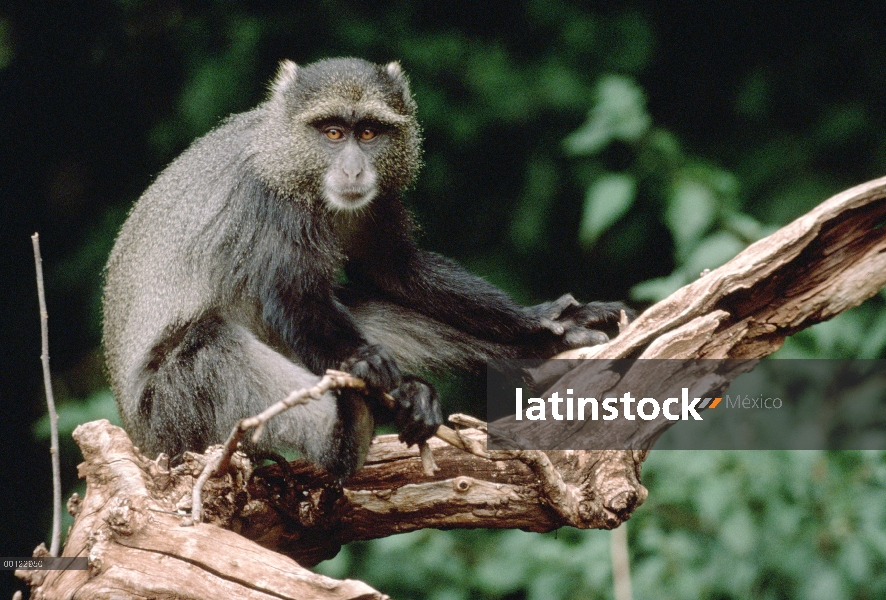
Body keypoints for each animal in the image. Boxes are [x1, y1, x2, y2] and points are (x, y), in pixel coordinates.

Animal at [104, 57, 628, 478]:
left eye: (369, 133)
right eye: (333, 132)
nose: (354, 170)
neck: (289, 157)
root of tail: (145, 443)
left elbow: (393, 270)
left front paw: (542, 322)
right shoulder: (269, 204)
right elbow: (294, 298)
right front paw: (373, 369)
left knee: (364, 307)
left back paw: (546, 351)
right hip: (174, 419)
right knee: (207, 344)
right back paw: (346, 435)